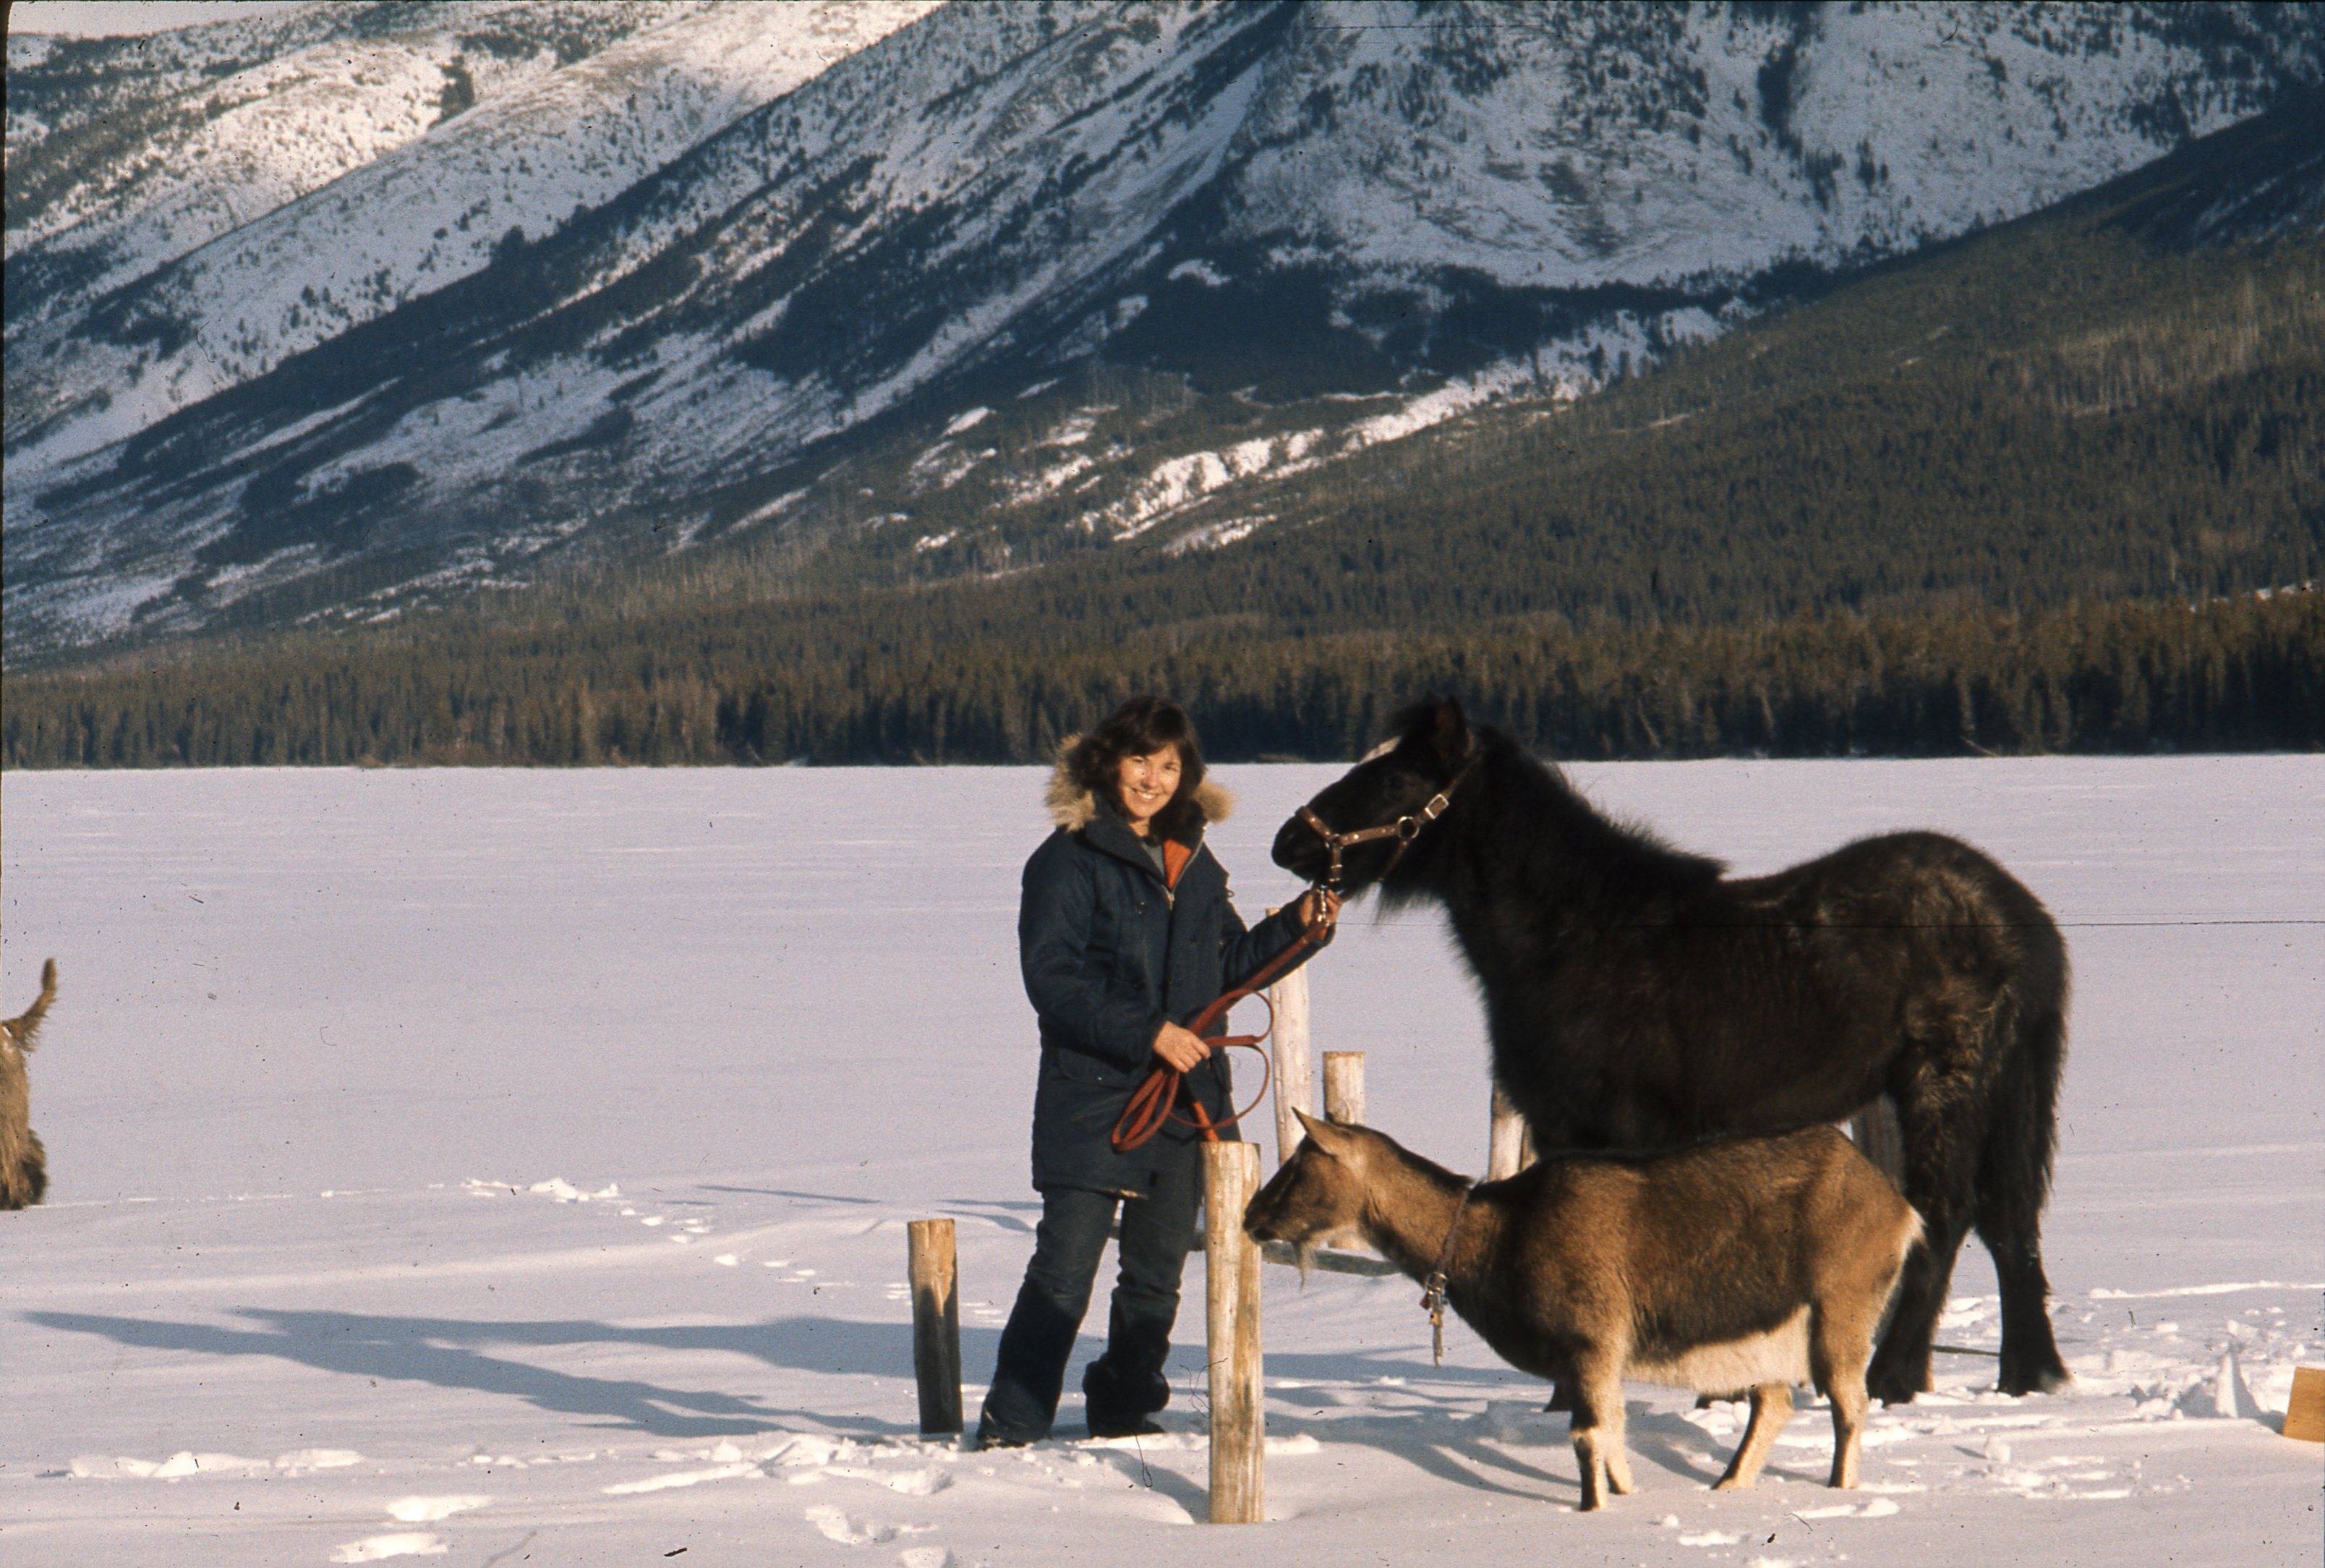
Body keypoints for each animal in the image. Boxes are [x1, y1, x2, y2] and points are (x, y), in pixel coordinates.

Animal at [1271, 698, 2070, 1403]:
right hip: (2006, 1085)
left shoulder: (1614, 1128)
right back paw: (2025, 1375)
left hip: (1945, 1083)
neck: (1576, 937)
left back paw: (1893, 1378)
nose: (1288, 843)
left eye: (1393, 780)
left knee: (1947, 1212)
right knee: (2010, 1219)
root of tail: (2018, 916)